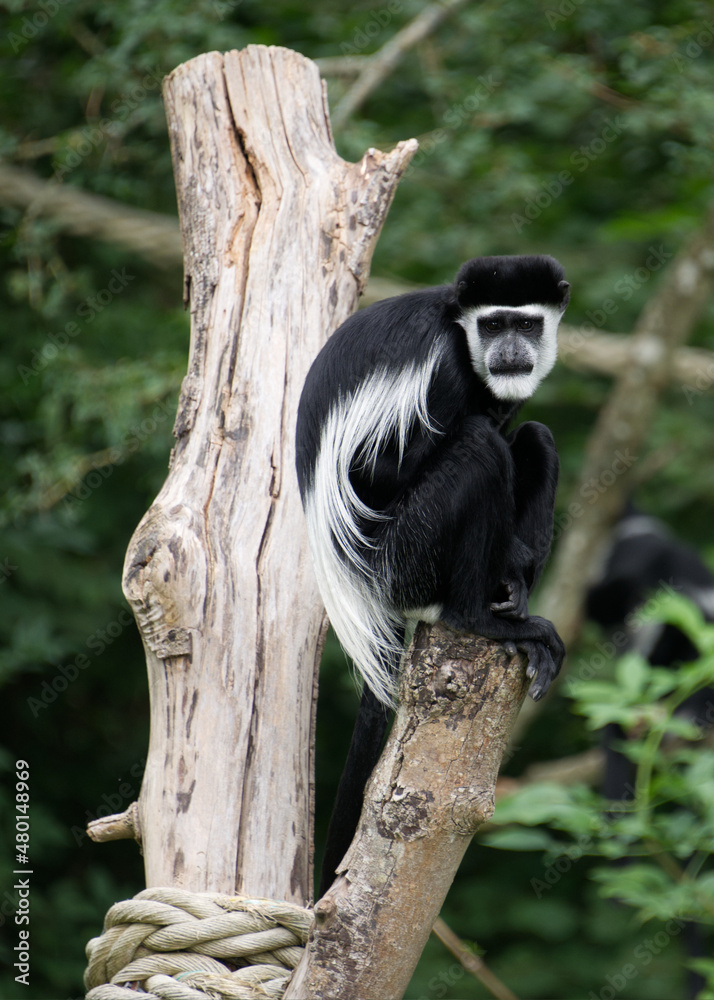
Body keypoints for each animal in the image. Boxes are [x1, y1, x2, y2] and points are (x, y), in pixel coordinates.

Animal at [295, 254, 570, 894]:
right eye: (493, 325)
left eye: (527, 323)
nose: (511, 351)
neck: (461, 335)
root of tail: (365, 587)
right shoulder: (440, 369)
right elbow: (383, 469)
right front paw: (510, 561)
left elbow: (521, 428)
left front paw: (516, 567)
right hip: (407, 557)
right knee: (476, 446)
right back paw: (484, 619)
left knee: (535, 438)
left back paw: (511, 600)